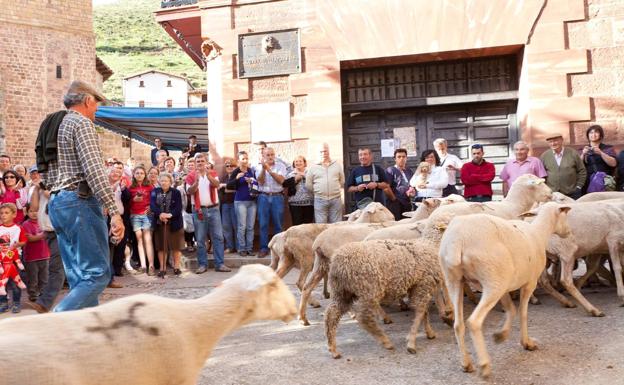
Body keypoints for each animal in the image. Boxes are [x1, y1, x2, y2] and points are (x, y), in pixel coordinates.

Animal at [436, 202, 572, 376]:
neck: (539, 233)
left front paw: (501, 336)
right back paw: (484, 365)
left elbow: (511, 310)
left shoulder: (506, 287)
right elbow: (522, 313)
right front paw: (526, 342)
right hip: (492, 283)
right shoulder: (529, 283)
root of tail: (459, 240)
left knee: (458, 324)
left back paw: (466, 364)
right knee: (474, 322)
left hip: (455, 280)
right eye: (565, 214)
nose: (568, 232)